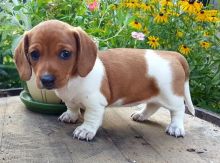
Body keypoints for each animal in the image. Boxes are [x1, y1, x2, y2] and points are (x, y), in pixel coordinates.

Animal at [14, 19, 195, 141]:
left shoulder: (95, 103)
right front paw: (70, 116)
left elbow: (91, 117)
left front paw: (85, 130)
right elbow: (72, 107)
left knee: (178, 110)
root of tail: (172, 54)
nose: (46, 80)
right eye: (34, 54)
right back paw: (141, 115)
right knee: (152, 105)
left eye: (65, 53)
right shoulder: (70, 100)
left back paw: (176, 127)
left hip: (171, 95)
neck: (72, 80)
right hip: (155, 94)